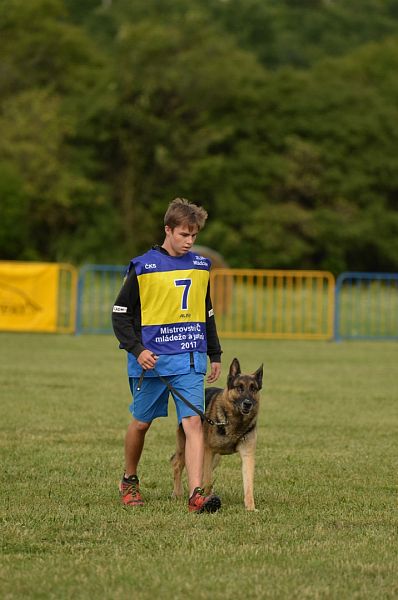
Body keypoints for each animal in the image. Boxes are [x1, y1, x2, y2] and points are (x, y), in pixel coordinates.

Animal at [172, 356, 262, 510]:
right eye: (239, 387)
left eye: (253, 388)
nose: (247, 403)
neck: (235, 423)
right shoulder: (208, 451)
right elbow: (208, 480)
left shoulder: (247, 455)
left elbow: (248, 485)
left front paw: (250, 508)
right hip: (189, 448)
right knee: (177, 465)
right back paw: (177, 494)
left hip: (215, 459)